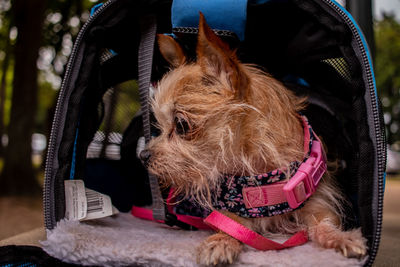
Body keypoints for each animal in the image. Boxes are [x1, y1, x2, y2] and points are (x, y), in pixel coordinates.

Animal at [140, 14, 366, 266]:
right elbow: (230, 228)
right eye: (159, 125)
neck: (260, 175)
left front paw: (340, 238)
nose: (143, 155)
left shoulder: (318, 203)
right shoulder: (231, 213)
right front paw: (221, 241)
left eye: (180, 125)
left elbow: (324, 225)